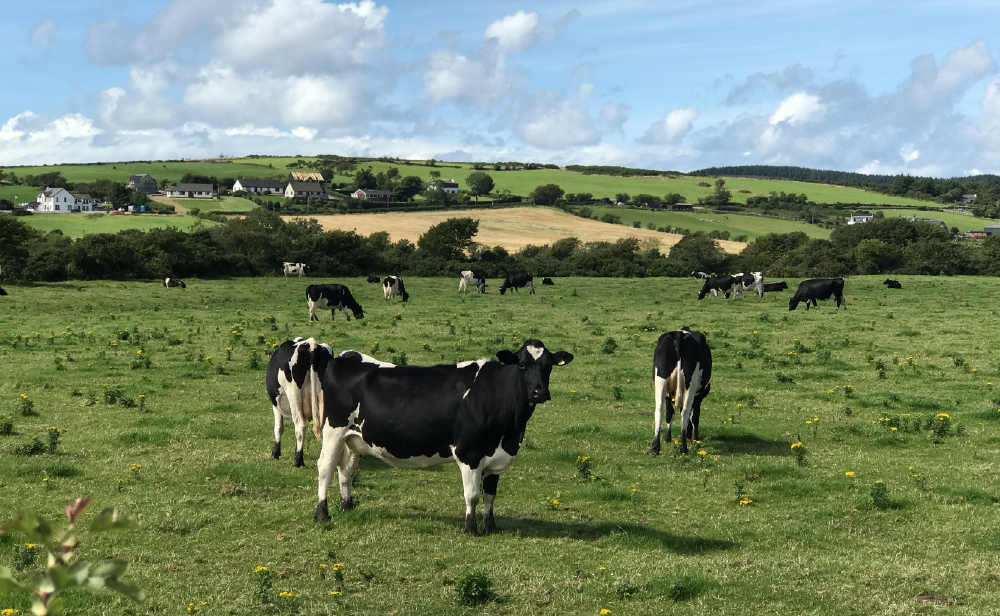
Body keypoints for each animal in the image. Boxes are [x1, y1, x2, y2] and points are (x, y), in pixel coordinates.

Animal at [266, 338, 334, 467]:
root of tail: (311, 344)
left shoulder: (275, 405)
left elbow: (278, 427)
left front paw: (275, 453)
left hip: (294, 395)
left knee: (300, 427)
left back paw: (298, 460)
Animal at [313, 339, 574, 535]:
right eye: (521, 365)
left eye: (548, 365)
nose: (539, 392)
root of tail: (347, 355)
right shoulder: (470, 453)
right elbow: (473, 496)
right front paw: (471, 529)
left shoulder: (495, 456)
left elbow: (490, 495)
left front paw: (491, 528)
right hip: (333, 430)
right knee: (325, 467)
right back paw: (322, 514)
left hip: (353, 438)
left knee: (346, 470)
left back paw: (347, 507)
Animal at [649, 327, 712, 456]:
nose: (690, 434)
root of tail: (679, 334)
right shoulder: (699, 395)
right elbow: (695, 416)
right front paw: (694, 438)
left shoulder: (667, 393)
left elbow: (669, 414)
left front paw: (667, 437)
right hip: (690, 383)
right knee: (686, 411)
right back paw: (684, 447)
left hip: (661, 378)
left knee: (659, 409)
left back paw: (655, 448)